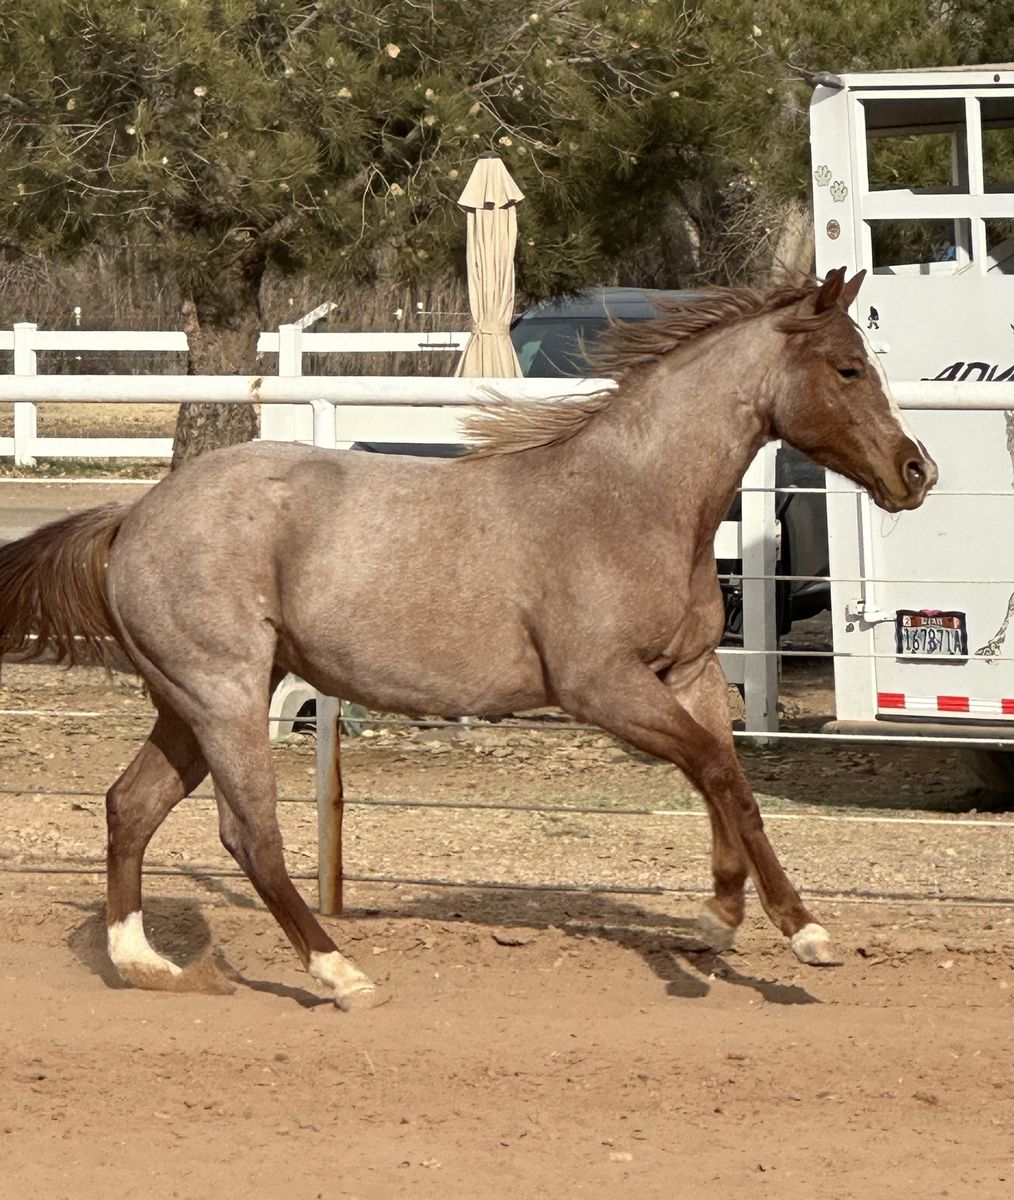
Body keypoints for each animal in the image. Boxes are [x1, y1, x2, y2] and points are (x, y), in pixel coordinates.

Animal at [0, 268, 936, 1009]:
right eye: (849, 367)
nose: (915, 471)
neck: (630, 499)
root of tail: (133, 515)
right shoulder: (601, 687)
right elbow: (717, 773)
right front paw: (797, 933)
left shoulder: (690, 671)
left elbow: (728, 778)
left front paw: (724, 916)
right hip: (221, 692)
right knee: (248, 834)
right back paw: (341, 975)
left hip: (191, 701)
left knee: (130, 805)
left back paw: (144, 963)